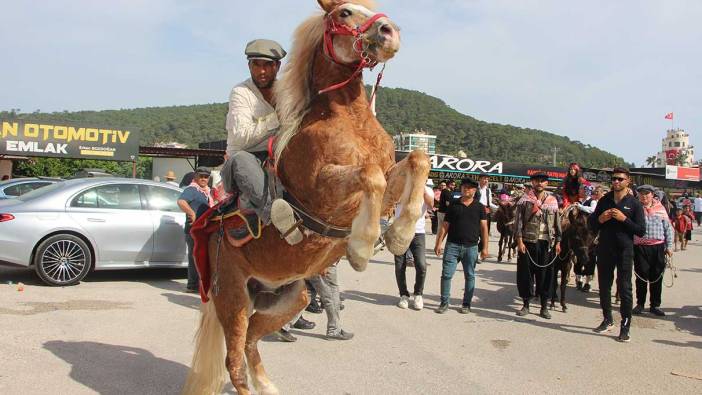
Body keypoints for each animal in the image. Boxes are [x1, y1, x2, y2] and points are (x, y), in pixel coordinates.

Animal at [182, 1, 432, 394]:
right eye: (344, 12)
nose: (389, 32)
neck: (346, 118)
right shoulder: (322, 189)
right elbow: (370, 176)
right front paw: (361, 247)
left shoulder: (390, 173)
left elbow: (419, 160)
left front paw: (397, 235)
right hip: (233, 298)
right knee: (234, 361)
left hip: (289, 298)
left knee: (251, 342)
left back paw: (269, 387)